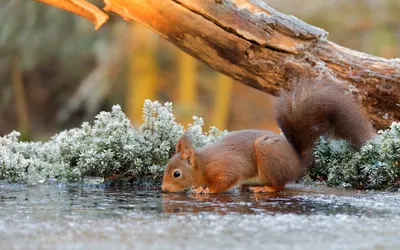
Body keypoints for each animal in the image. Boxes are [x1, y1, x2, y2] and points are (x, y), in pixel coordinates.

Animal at [160, 78, 376, 193]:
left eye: (176, 173)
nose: (164, 189)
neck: (203, 165)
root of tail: (298, 164)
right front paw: (199, 188)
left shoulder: (225, 169)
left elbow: (224, 183)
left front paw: (206, 190)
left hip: (268, 154)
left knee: (279, 185)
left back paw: (265, 188)